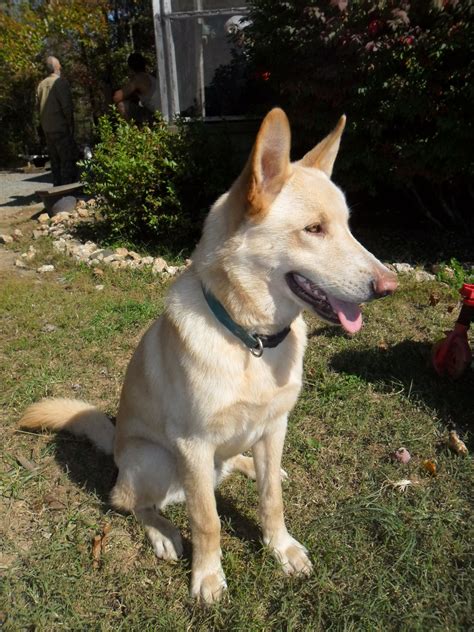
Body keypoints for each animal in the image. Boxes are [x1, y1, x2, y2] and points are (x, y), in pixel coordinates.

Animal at [20, 108, 398, 604]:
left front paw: (281, 548)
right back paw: (163, 531)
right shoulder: (193, 446)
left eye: (350, 226)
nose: (390, 285)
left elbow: (271, 500)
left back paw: (254, 469)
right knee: (129, 502)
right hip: (155, 459)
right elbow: (207, 520)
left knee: (235, 467)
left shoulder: (274, 427)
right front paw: (208, 577)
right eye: (314, 229)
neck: (251, 339)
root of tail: (116, 443)